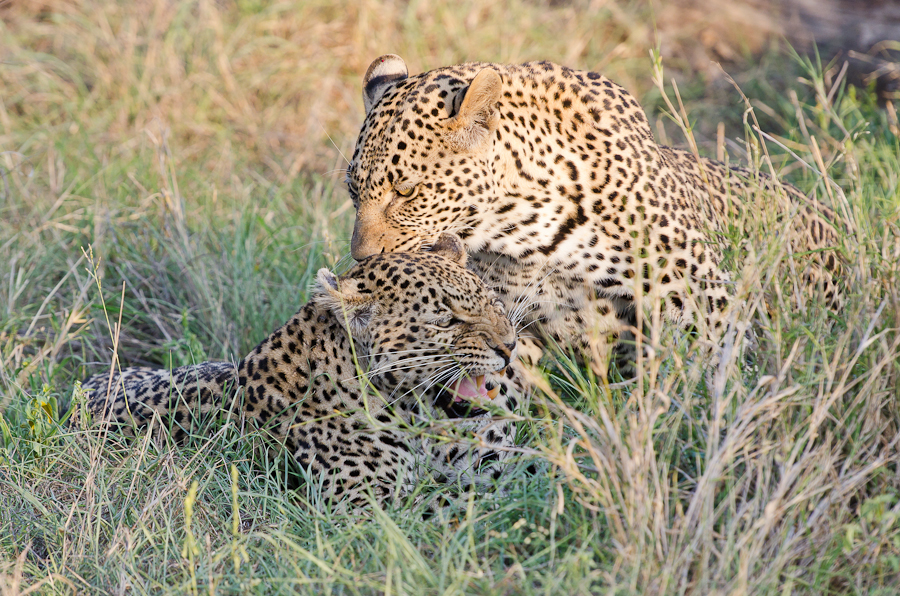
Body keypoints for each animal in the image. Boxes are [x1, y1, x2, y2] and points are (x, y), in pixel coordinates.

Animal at [82, 235, 528, 510]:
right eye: (446, 321)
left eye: (492, 302)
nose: (509, 346)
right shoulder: (367, 507)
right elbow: (463, 505)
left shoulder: (480, 459)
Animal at [346, 54, 844, 372]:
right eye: (353, 191)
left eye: (406, 191)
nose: (362, 258)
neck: (525, 233)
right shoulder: (519, 325)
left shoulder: (704, 304)